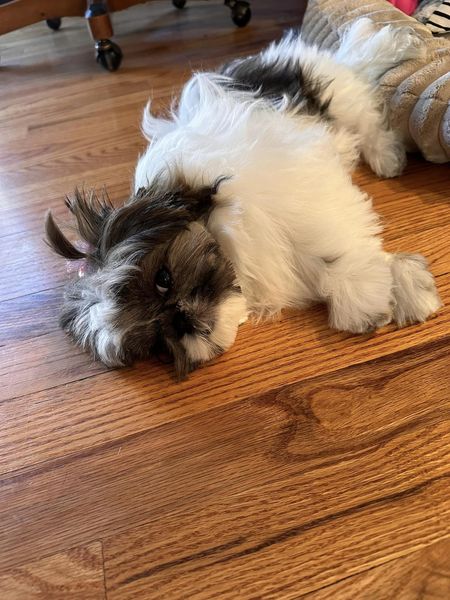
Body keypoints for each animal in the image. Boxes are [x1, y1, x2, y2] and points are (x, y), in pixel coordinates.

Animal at [46, 19, 442, 380]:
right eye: (158, 340)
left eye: (163, 279)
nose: (182, 321)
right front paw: (404, 286)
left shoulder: (298, 195)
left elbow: (332, 248)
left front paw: (361, 300)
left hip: (332, 96)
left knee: (363, 99)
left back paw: (386, 153)